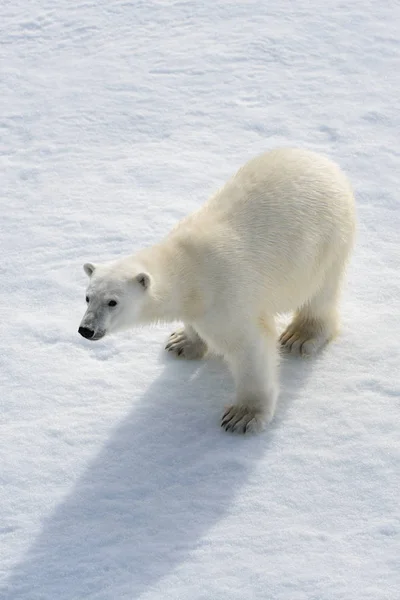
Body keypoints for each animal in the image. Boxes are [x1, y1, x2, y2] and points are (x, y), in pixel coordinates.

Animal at [79, 148, 354, 434]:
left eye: (112, 302)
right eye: (88, 297)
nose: (86, 329)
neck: (190, 268)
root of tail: (322, 161)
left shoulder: (228, 297)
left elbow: (251, 348)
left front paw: (243, 416)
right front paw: (182, 342)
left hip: (326, 243)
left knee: (320, 294)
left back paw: (301, 335)